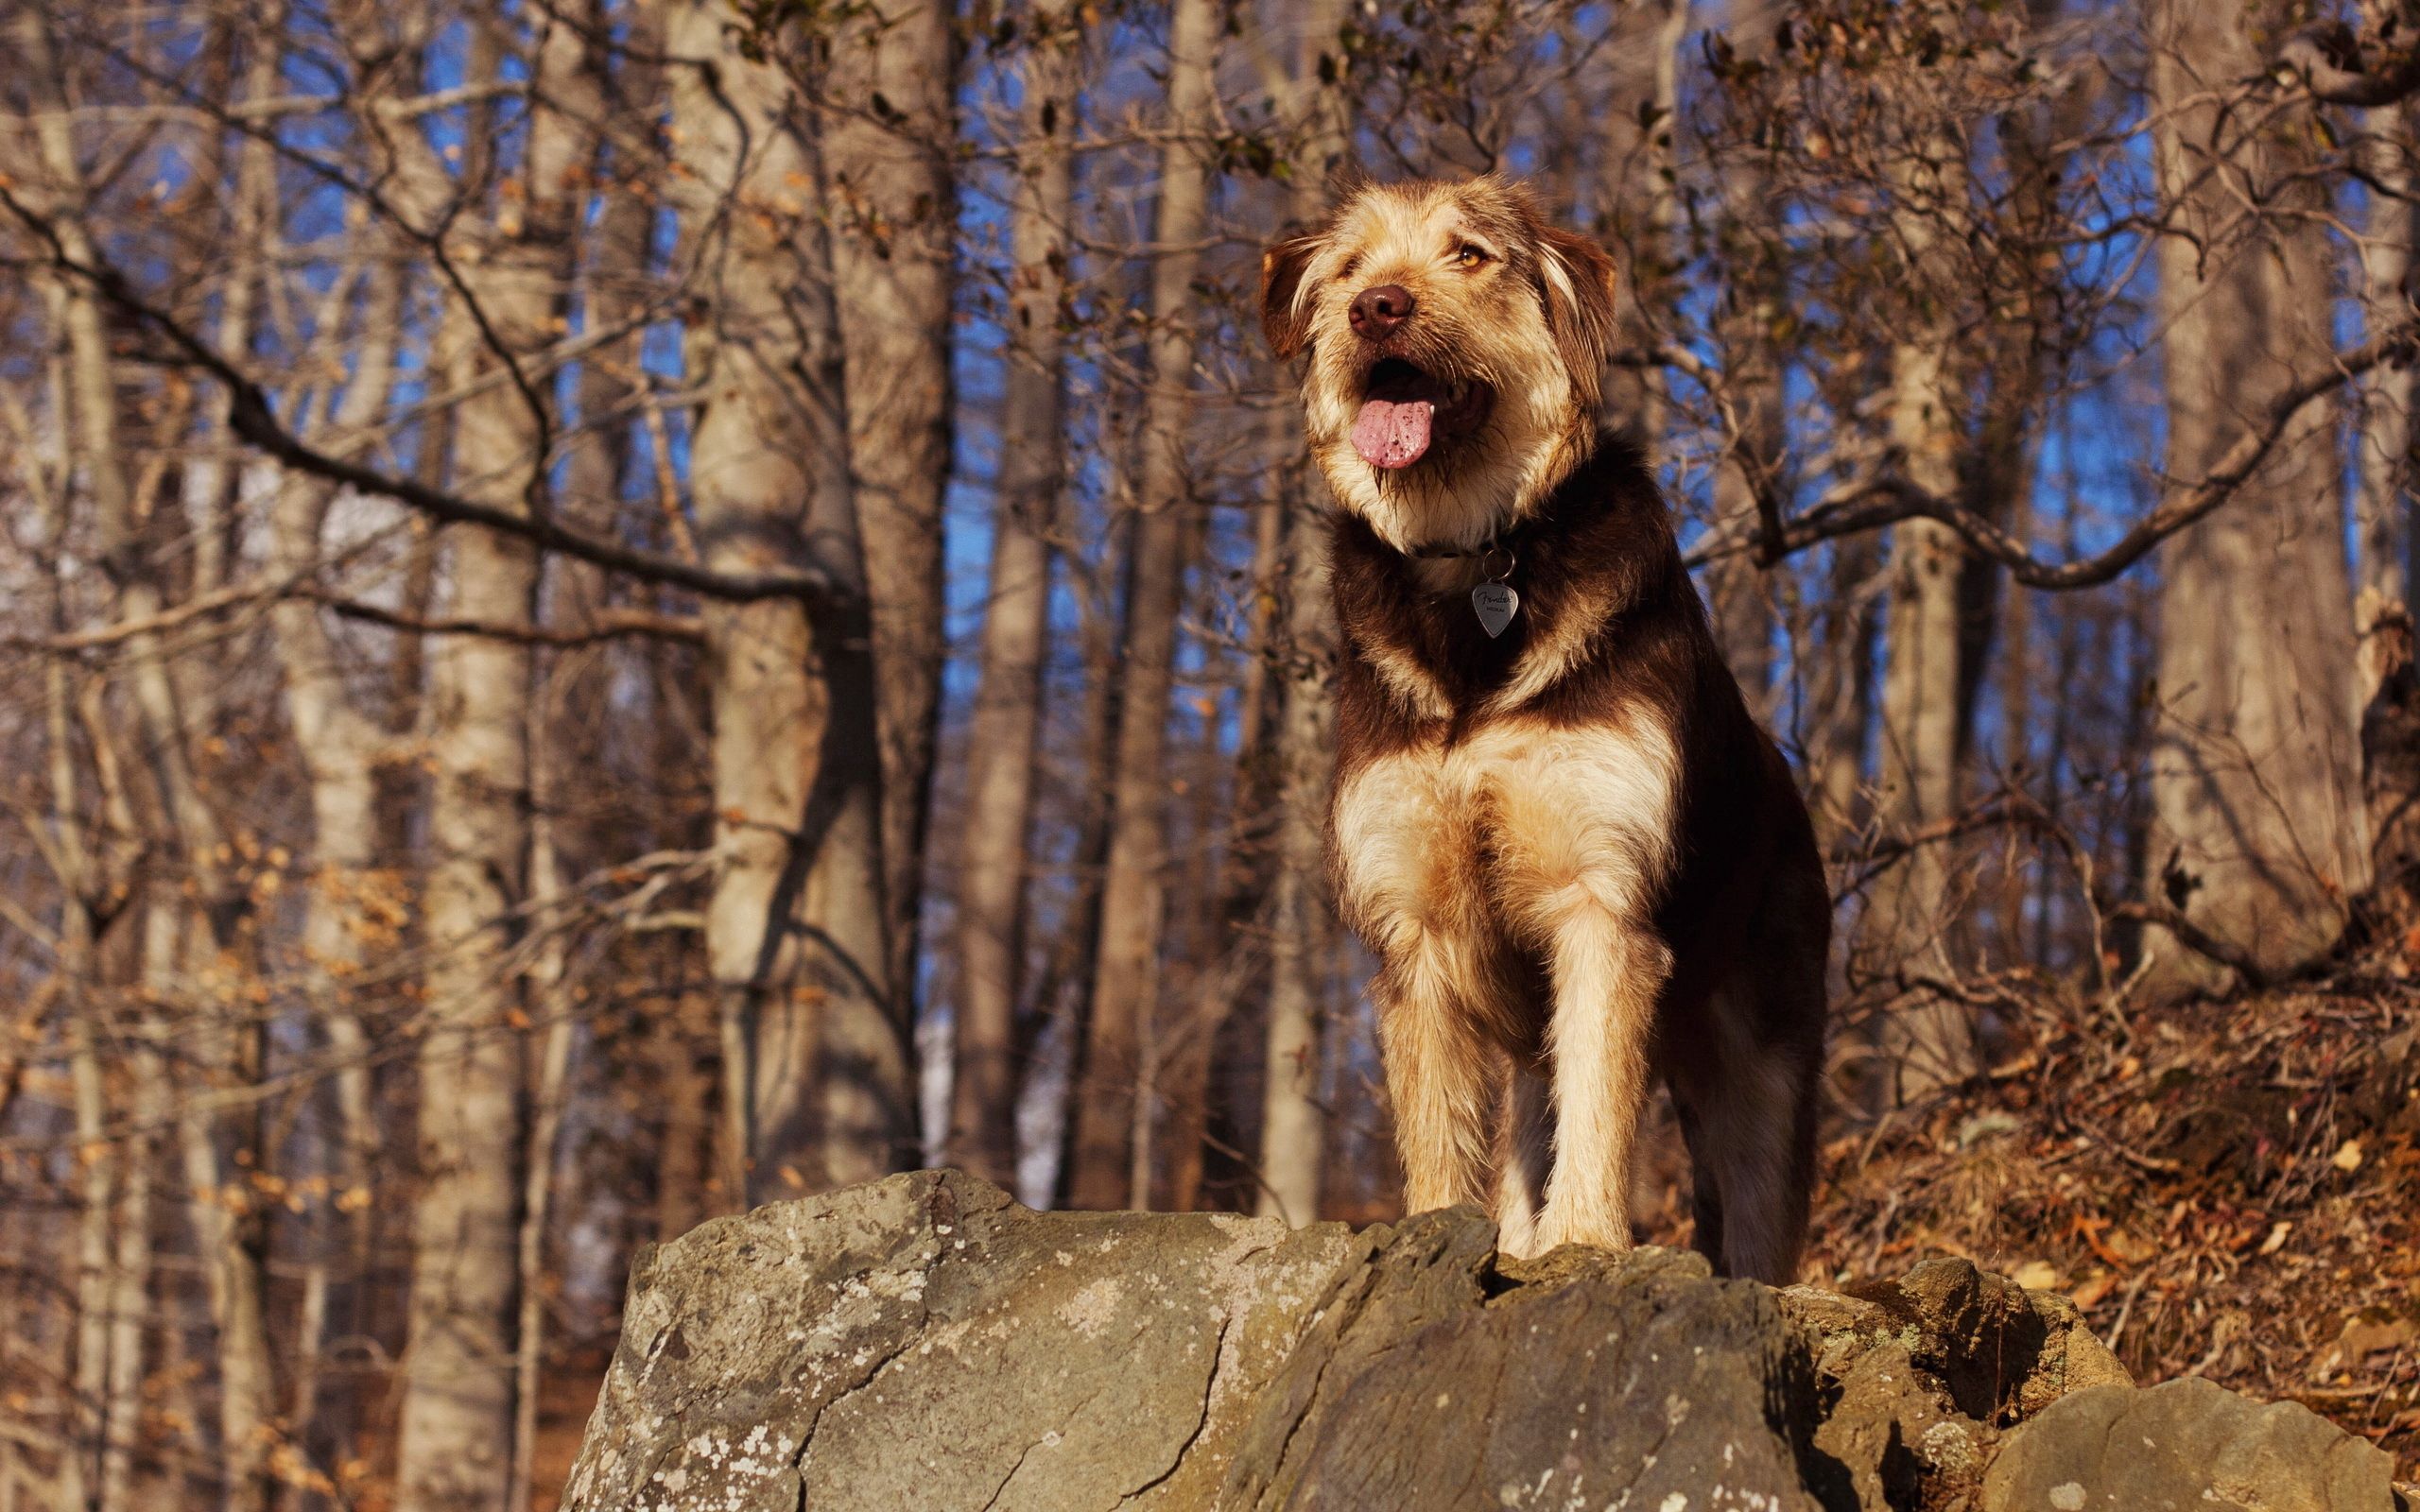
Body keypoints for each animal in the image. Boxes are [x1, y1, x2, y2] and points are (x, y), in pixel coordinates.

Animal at [1258, 180, 1820, 1286]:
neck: (1478, 561)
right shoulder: (1419, 927)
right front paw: (1438, 1236)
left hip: (1764, 1056)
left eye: (1469, 255)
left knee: (1754, 1197)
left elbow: (1599, 1101)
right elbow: (1442, 1129)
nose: (1376, 309)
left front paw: (1585, 1244)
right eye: (1347, 269)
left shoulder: (1599, 898)